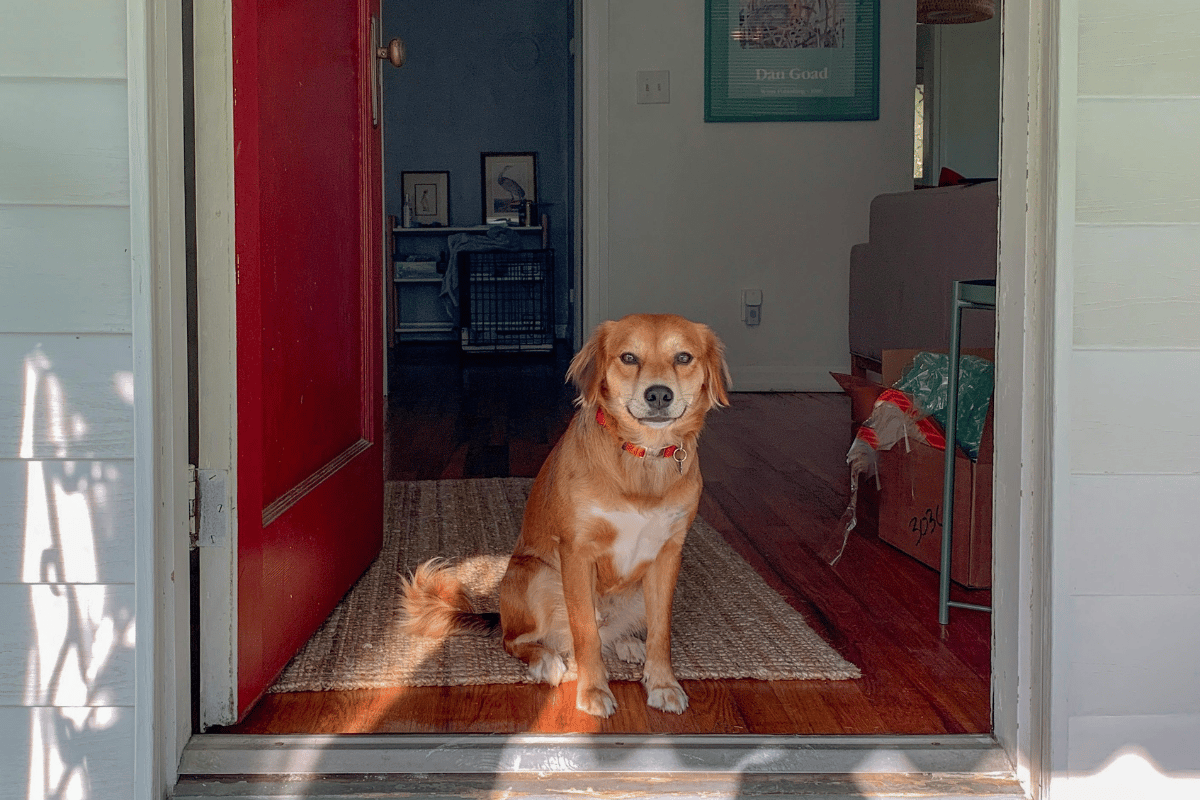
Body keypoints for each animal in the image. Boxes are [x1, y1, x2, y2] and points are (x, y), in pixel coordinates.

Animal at [400, 314, 729, 719]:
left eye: (683, 357)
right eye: (629, 357)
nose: (658, 395)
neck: (642, 458)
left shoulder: (668, 555)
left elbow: (660, 630)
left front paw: (663, 684)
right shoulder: (576, 553)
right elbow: (585, 631)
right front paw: (593, 690)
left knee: (613, 633)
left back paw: (628, 644)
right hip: (535, 575)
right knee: (517, 640)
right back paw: (547, 660)